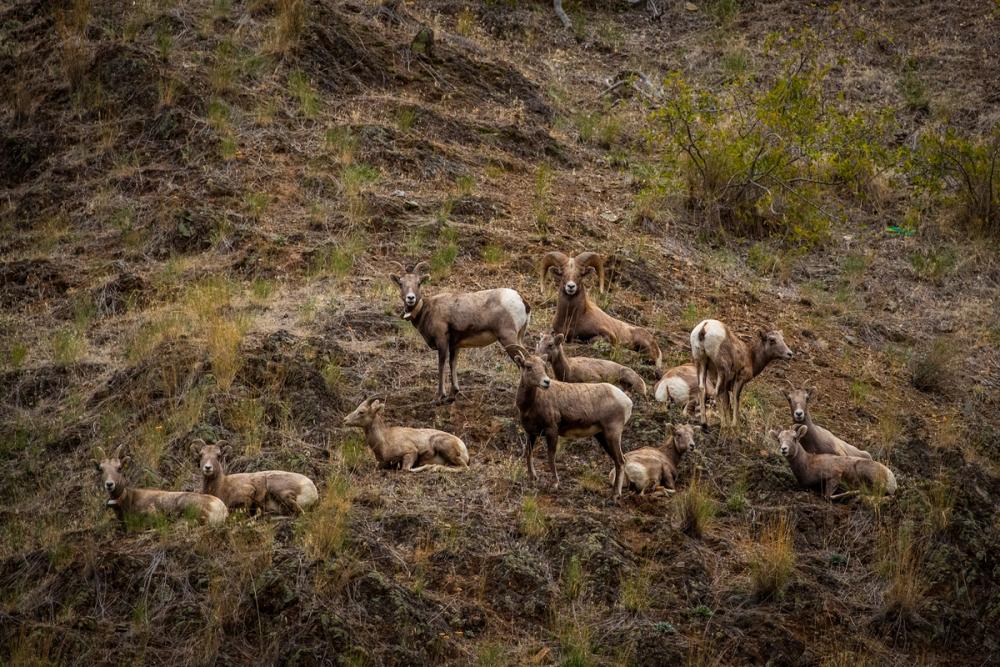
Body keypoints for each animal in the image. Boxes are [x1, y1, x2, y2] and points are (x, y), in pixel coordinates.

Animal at [390, 261, 531, 404]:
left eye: (418, 283)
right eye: (401, 284)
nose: (410, 298)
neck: (426, 310)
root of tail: (521, 301)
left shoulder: (442, 342)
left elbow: (441, 365)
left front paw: (440, 396)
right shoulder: (455, 345)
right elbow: (453, 364)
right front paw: (452, 395)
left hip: (508, 338)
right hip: (518, 338)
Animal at [509, 344, 632, 497]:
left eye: (543, 366)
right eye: (528, 366)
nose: (546, 382)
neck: (529, 405)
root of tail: (626, 400)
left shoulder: (551, 431)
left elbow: (551, 456)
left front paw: (555, 484)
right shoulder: (531, 433)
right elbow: (528, 453)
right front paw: (533, 478)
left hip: (612, 434)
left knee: (621, 461)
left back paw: (615, 495)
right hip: (602, 436)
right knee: (619, 460)